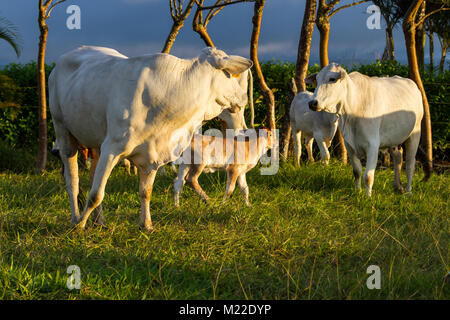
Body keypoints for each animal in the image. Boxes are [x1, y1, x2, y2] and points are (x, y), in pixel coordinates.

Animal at [50, 45, 253, 230]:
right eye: (228, 74)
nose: (244, 97)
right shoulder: (112, 148)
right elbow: (96, 195)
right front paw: (80, 226)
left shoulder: (151, 154)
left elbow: (145, 192)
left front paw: (146, 225)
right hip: (63, 131)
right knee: (72, 181)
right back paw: (75, 219)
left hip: (96, 144)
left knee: (92, 179)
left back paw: (99, 221)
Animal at [308, 62, 424, 196]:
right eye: (316, 80)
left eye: (332, 79)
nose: (312, 103)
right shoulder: (349, 145)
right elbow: (357, 171)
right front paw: (357, 192)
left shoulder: (372, 145)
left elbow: (368, 176)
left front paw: (368, 197)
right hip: (394, 138)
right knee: (398, 157)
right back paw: (398, 186)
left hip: (415, 133)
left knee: (410, 164)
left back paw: (408, 192)